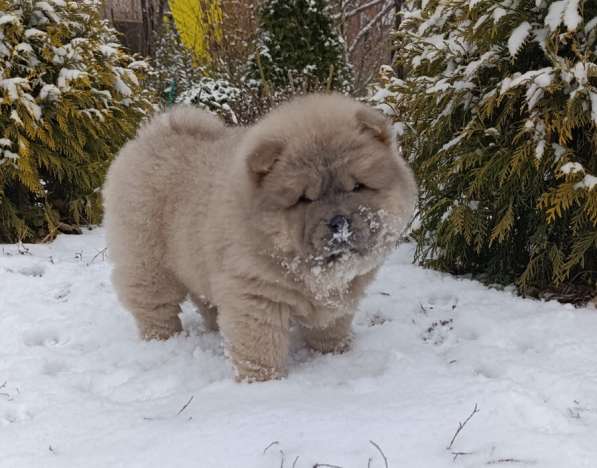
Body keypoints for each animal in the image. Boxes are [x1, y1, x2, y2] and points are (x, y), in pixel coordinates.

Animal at [102, 93, 416, 382]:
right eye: (304, 199)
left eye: (357, 187)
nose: (339, 223)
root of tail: (156, 132)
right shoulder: (256, 294)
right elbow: (261, 347)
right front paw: (263, 384)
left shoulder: (342, 293)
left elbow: (331, 326)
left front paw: (334, 353)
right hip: (148, 263)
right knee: (154, 307)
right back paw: (162, 341)